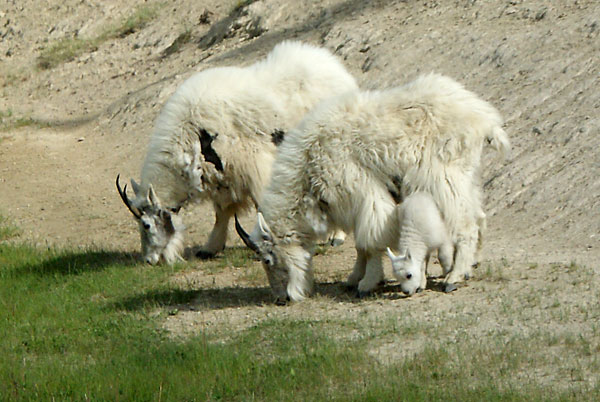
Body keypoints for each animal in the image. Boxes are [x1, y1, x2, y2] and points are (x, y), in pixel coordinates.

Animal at [116, 42, 356, 266]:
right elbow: (221, 213)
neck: (192, 133)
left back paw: (337, 236)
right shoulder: (223, 178)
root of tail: (338, 71)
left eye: (146, 224)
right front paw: (210, 248)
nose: (149, 260)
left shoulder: (253, 167)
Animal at [237, 74, 508, 304]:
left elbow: (370, 241)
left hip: (444, 178)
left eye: (268, 259)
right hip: (466, 176)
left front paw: (367, 282)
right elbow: (361, 245)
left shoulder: (364, 195)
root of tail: (484, 120)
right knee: (479, 216)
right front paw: (355, 277)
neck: (309, 164)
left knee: (466, 225)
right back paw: (471, 264)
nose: (282, 298)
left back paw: (455, 277)